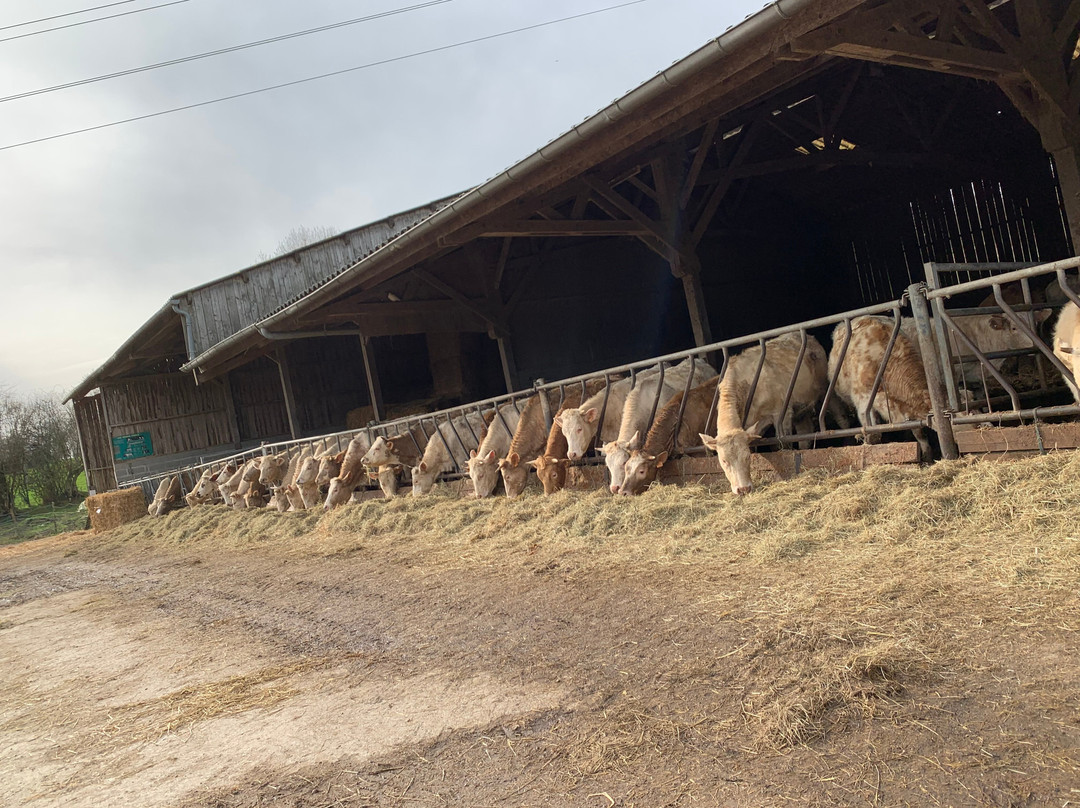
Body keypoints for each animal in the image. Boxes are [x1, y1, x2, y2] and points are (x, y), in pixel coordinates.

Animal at [699, 330, 825, 494]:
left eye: (747, 457)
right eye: (724, 460)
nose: (743, 489)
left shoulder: (781, 413)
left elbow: (783, 444)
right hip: (801, 410)